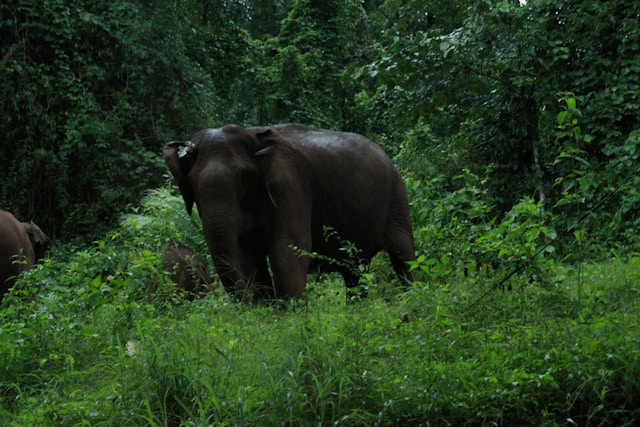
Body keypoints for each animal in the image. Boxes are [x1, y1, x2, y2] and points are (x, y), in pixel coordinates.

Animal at [163, 123, 415, 301]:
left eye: (245, 177)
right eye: (192, 182)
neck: (254, 136)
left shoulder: (290, 184)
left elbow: (288, 250)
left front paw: (289, 320)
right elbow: (247, 256)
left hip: (396, 197)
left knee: (404, 256)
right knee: (354, 271)